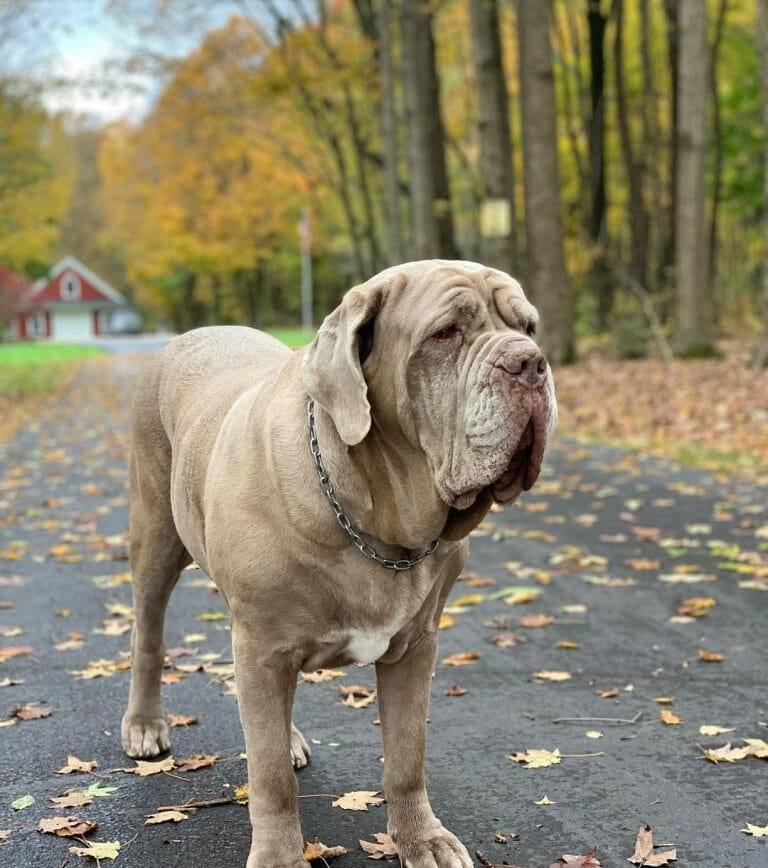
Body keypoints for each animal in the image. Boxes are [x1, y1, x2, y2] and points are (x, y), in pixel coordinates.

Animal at [124, 260, 560, 868]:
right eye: (445, 333)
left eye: (529, 327)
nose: (531, 362)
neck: (380, 523)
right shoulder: (262, 643)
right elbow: (270, 778)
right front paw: (279, 856)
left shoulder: (416, 646)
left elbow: (406, 757)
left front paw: (421, 839)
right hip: (157, 539)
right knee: (149, 635)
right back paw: (144, 725)